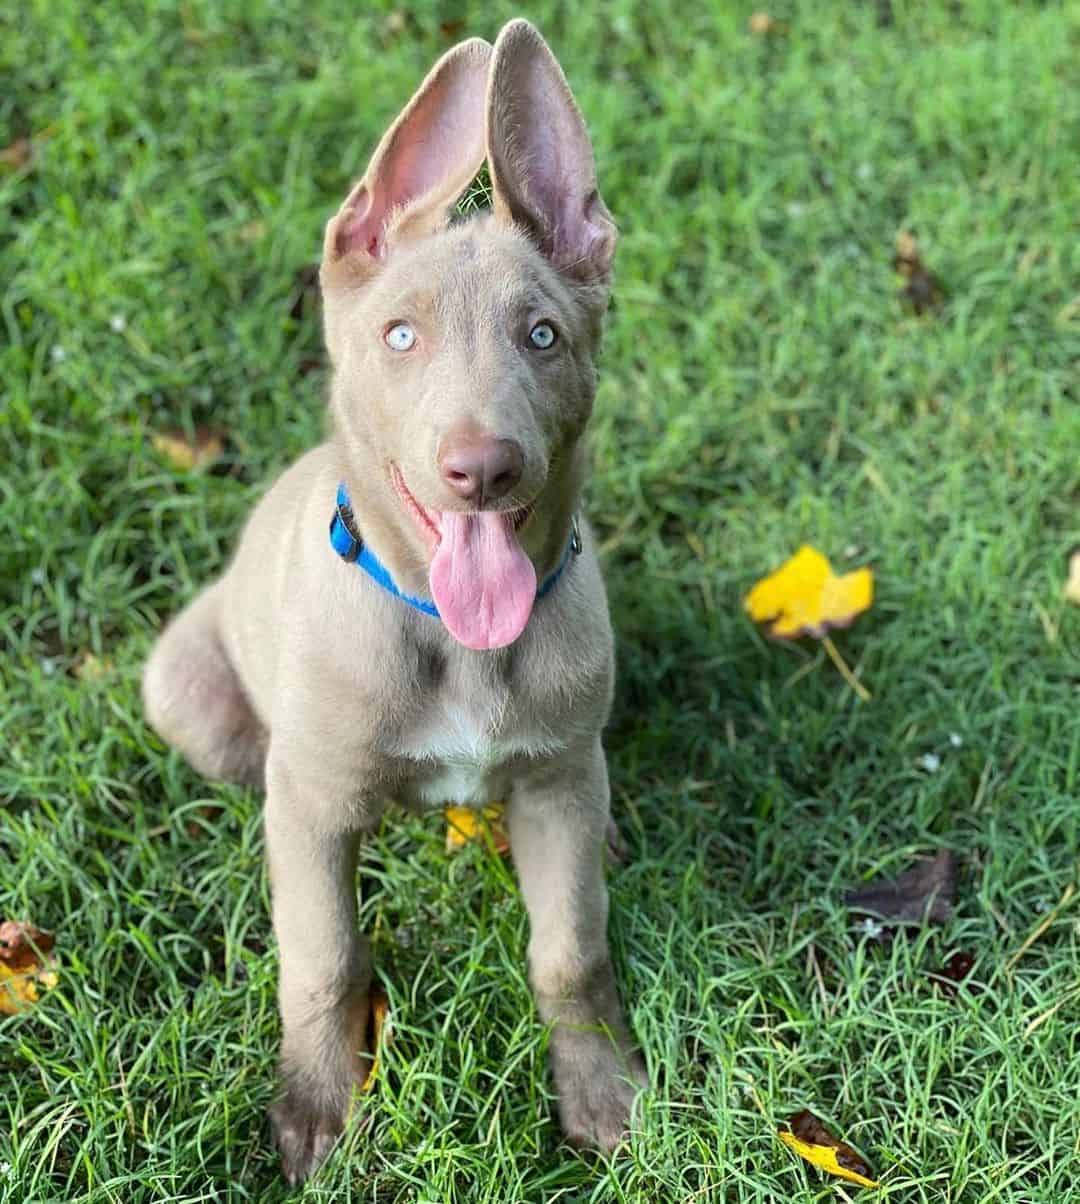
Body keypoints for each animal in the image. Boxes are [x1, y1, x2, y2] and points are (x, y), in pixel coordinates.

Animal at [144, 18, 650, 1184]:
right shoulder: (314, 806)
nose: (483, 468)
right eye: (401, 337)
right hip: (188, 694)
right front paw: (318, 1108)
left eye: (543, 336)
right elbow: (325, 957)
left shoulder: (554, 779)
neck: (450, 636)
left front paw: (601, 1086)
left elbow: (570, 950)